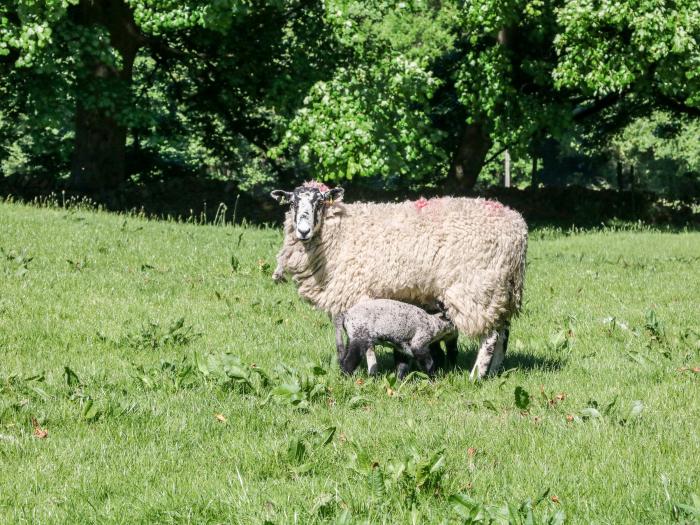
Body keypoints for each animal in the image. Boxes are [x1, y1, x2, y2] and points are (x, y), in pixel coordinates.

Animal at [270, 183, 528, 376]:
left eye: (320, 202)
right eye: (292, 203)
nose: (303, 231)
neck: (340, 231)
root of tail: (518, 227)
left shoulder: (357, 293)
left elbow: (366, 341)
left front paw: (371, 371)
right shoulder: (341, 297)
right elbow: (340, 337)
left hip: (476, 288)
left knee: (490, 337)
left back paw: (476, 376)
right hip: (499, 289)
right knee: (503, 333)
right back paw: (494, 371)